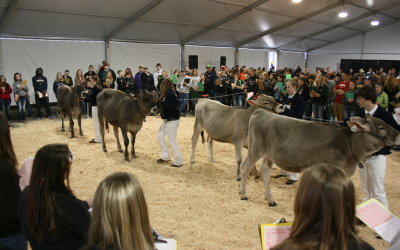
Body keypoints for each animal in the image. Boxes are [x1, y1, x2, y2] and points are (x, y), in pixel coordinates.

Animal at [239, 110, 400, 206]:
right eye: (381, 128)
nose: (399, 134)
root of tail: (262, 112)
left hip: (269, 156)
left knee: (265, 171)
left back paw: (270, 200)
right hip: (255, 150)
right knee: (245, 167)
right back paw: (243, 194)